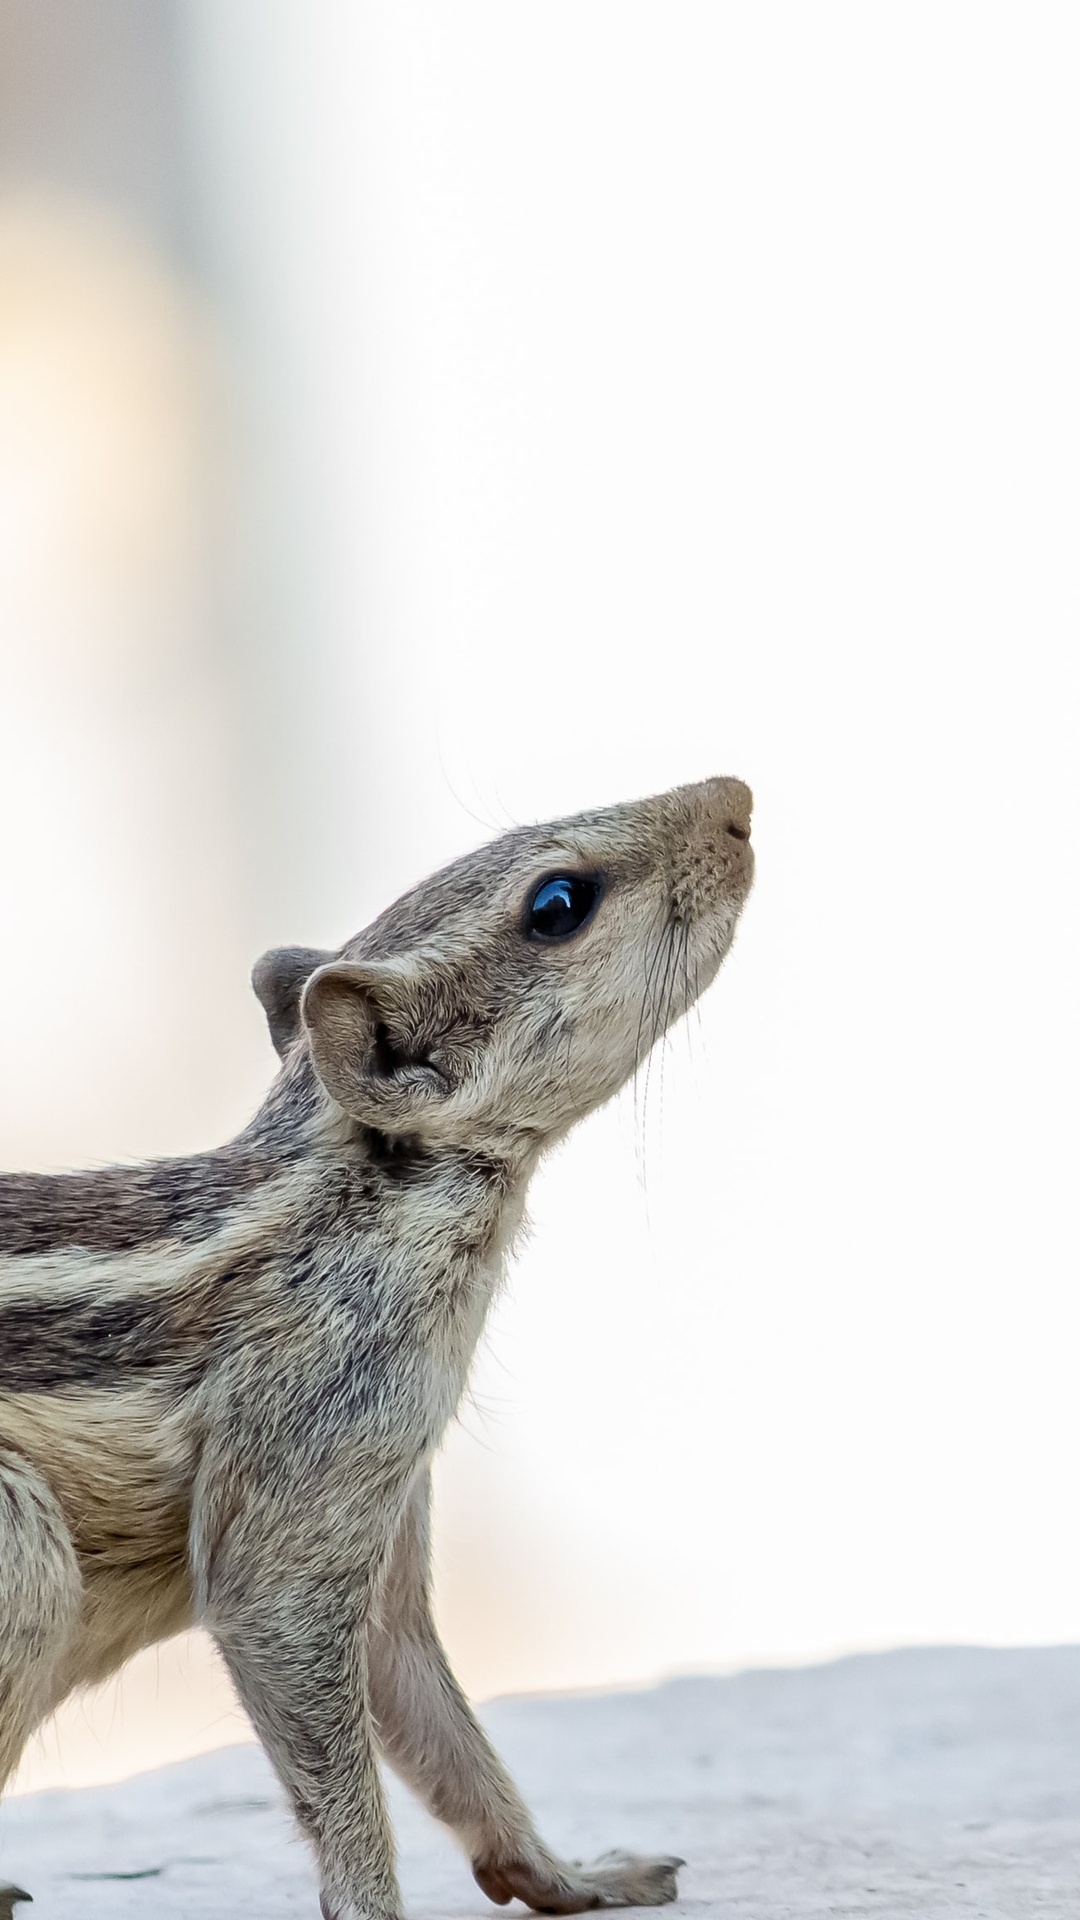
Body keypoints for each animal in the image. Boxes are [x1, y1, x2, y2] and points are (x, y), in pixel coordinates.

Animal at [0, 775, 749, 1920]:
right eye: (558, 903)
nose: (739, 797)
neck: (352, 1206)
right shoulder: (306, 1482)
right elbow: (327, 1733)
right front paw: (372, 1902)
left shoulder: (390, 1498)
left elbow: (437, 1716)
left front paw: (575, 1875)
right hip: (24, 1547)